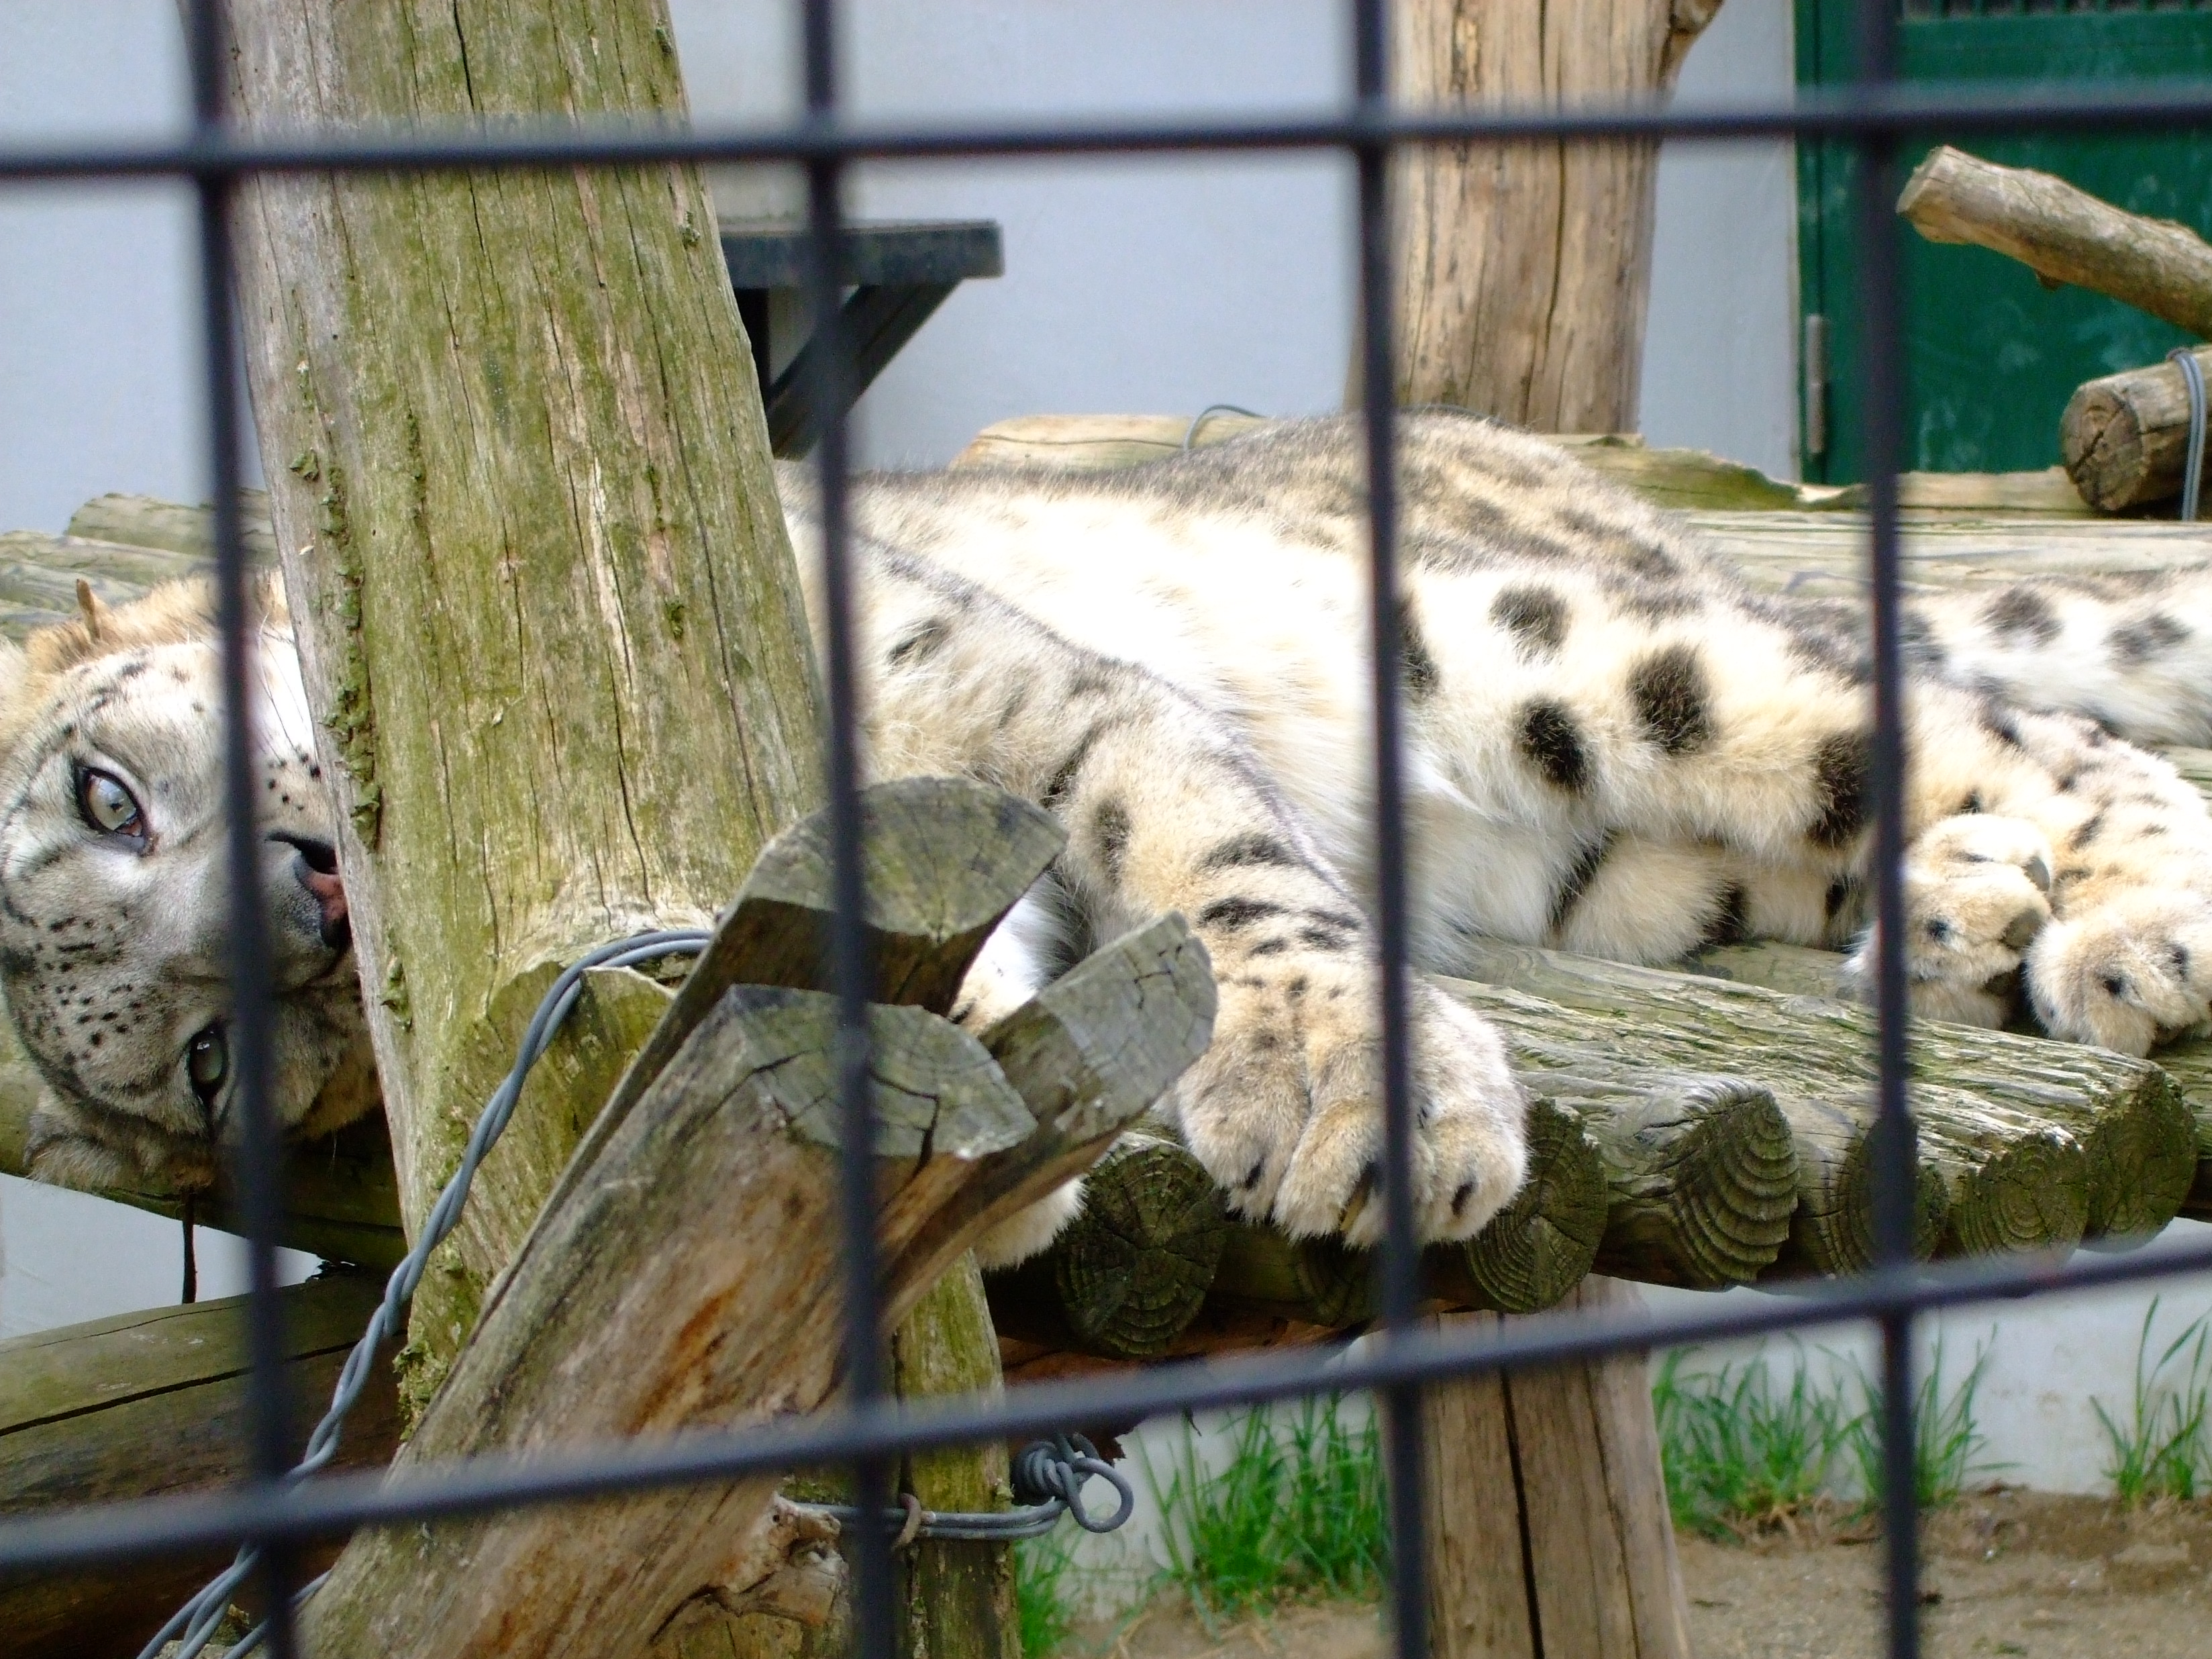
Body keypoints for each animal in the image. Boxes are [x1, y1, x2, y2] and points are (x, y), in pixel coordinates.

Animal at [10, 411, 2212, 1268]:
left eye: (104, 789)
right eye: (210, 1060)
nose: (303, 904)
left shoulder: (1007, 692)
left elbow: (1197, 847)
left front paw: (1349, 1094)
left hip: (1563, 656)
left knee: (2011, 721)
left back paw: (2124, 935)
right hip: (1644, 870)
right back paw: (1956, 918)